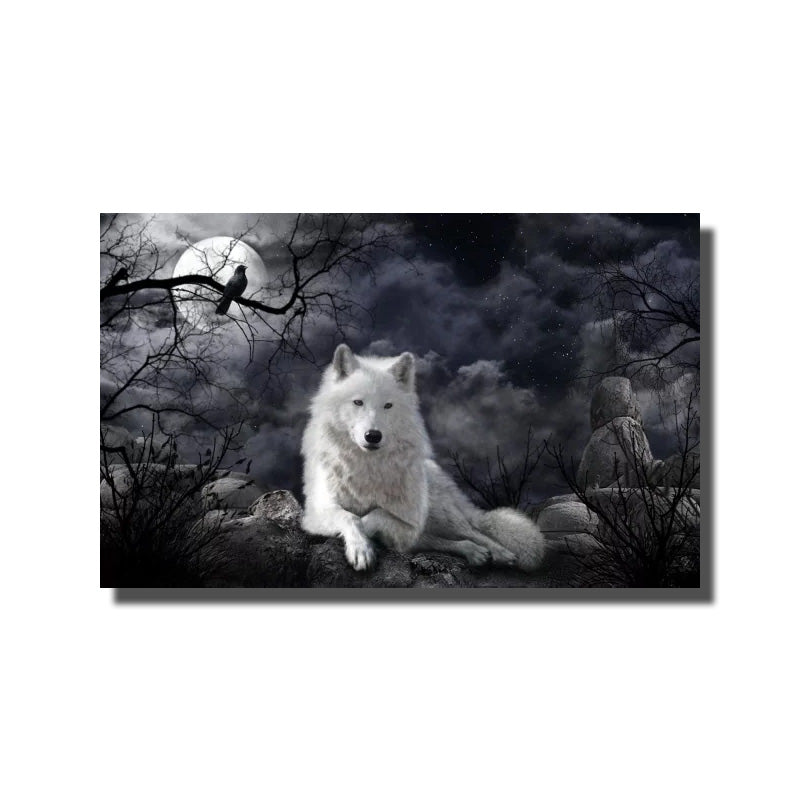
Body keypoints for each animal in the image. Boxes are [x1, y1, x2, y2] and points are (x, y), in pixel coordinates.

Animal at [301, 344, 546, 572]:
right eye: (358, 402)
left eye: (388, 405)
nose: (373, 436)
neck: (367, 466)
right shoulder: (315, 514)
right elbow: (349, 516)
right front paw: (361, 549)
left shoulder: (410, 521)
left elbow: (376, 515)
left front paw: (368, 536)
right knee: (444, 541)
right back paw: (475, 553)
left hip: (443, 515)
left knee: (474, 531)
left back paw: (502, 553)